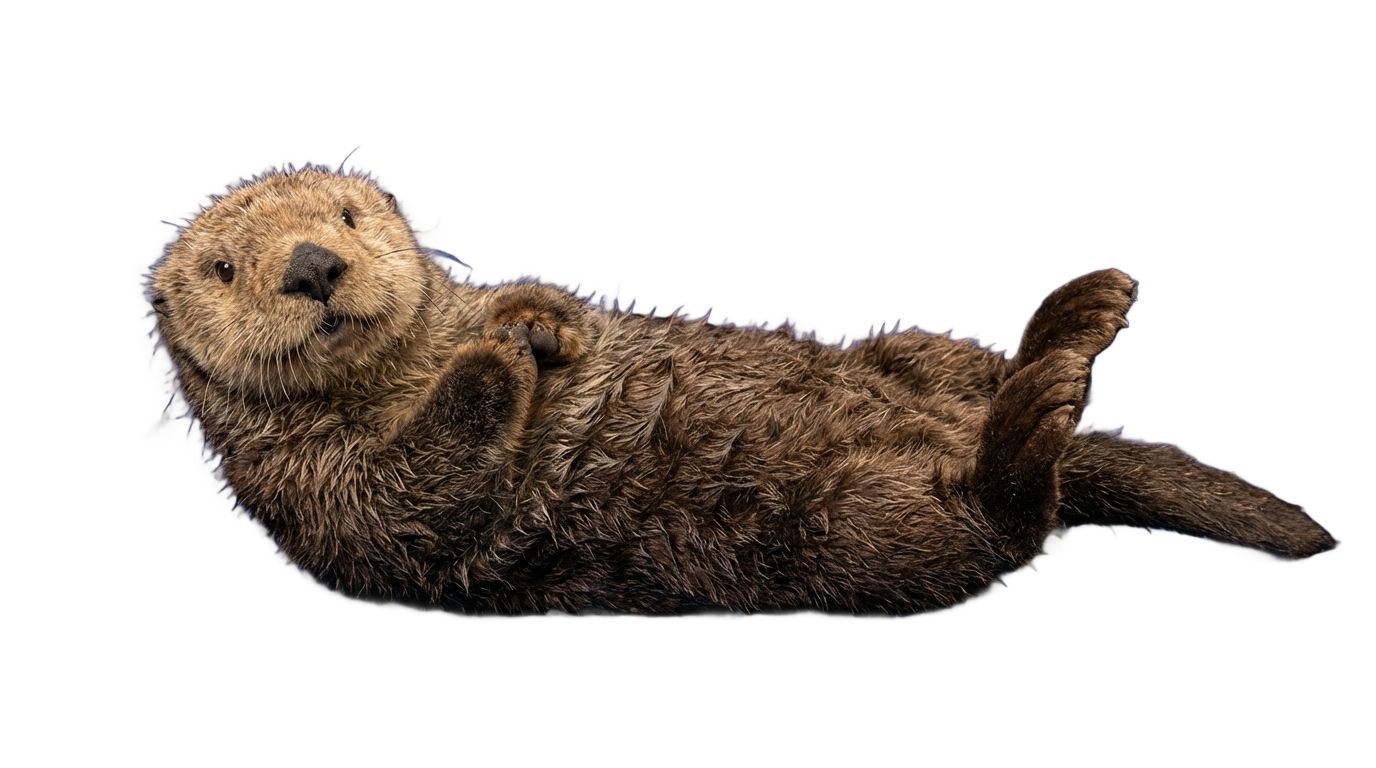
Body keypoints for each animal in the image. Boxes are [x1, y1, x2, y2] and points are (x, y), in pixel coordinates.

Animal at [149, 167, 1332, 611]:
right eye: (224, 268)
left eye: (349, 216)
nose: (312, 266)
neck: (405, 369)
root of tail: (945, 432)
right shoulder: (320, 497)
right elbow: (416, 493)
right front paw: (496, 362)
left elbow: (527, 307)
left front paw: (531, 321)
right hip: (860, 530)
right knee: (992, 526)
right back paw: (1037, 414)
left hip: (912, 353)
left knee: (964, 369)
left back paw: (1076, 322)